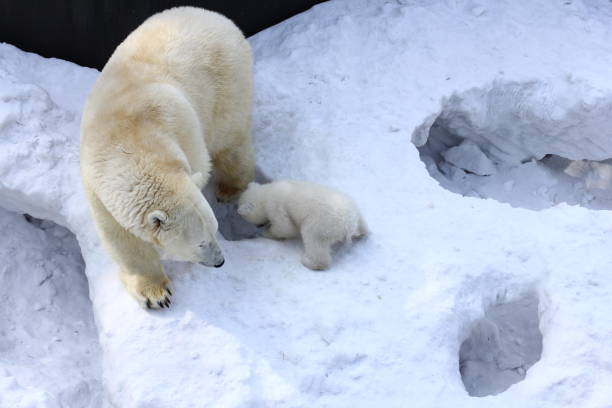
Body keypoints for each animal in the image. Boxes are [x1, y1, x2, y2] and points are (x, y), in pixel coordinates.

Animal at [80, 6, 255, 308]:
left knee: (230, 141)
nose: (220, 261)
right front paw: (155, 293)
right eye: (200, 242)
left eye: (215, 228)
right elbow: (121, 237)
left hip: (227, 84)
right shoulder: (98, 187)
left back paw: (229, 187)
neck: (131, 142)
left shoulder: (187, 143)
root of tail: (218, 17)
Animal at [237, 180, 366, 270]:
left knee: (313, 239)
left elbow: (285, 227)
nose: (259, 226)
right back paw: (362, 233)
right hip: (352, 206)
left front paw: (266, 232)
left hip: (322, 223)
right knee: (363, 223)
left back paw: (308, 262)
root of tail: (348, 224)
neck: (267, 192)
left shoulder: (275, 206)